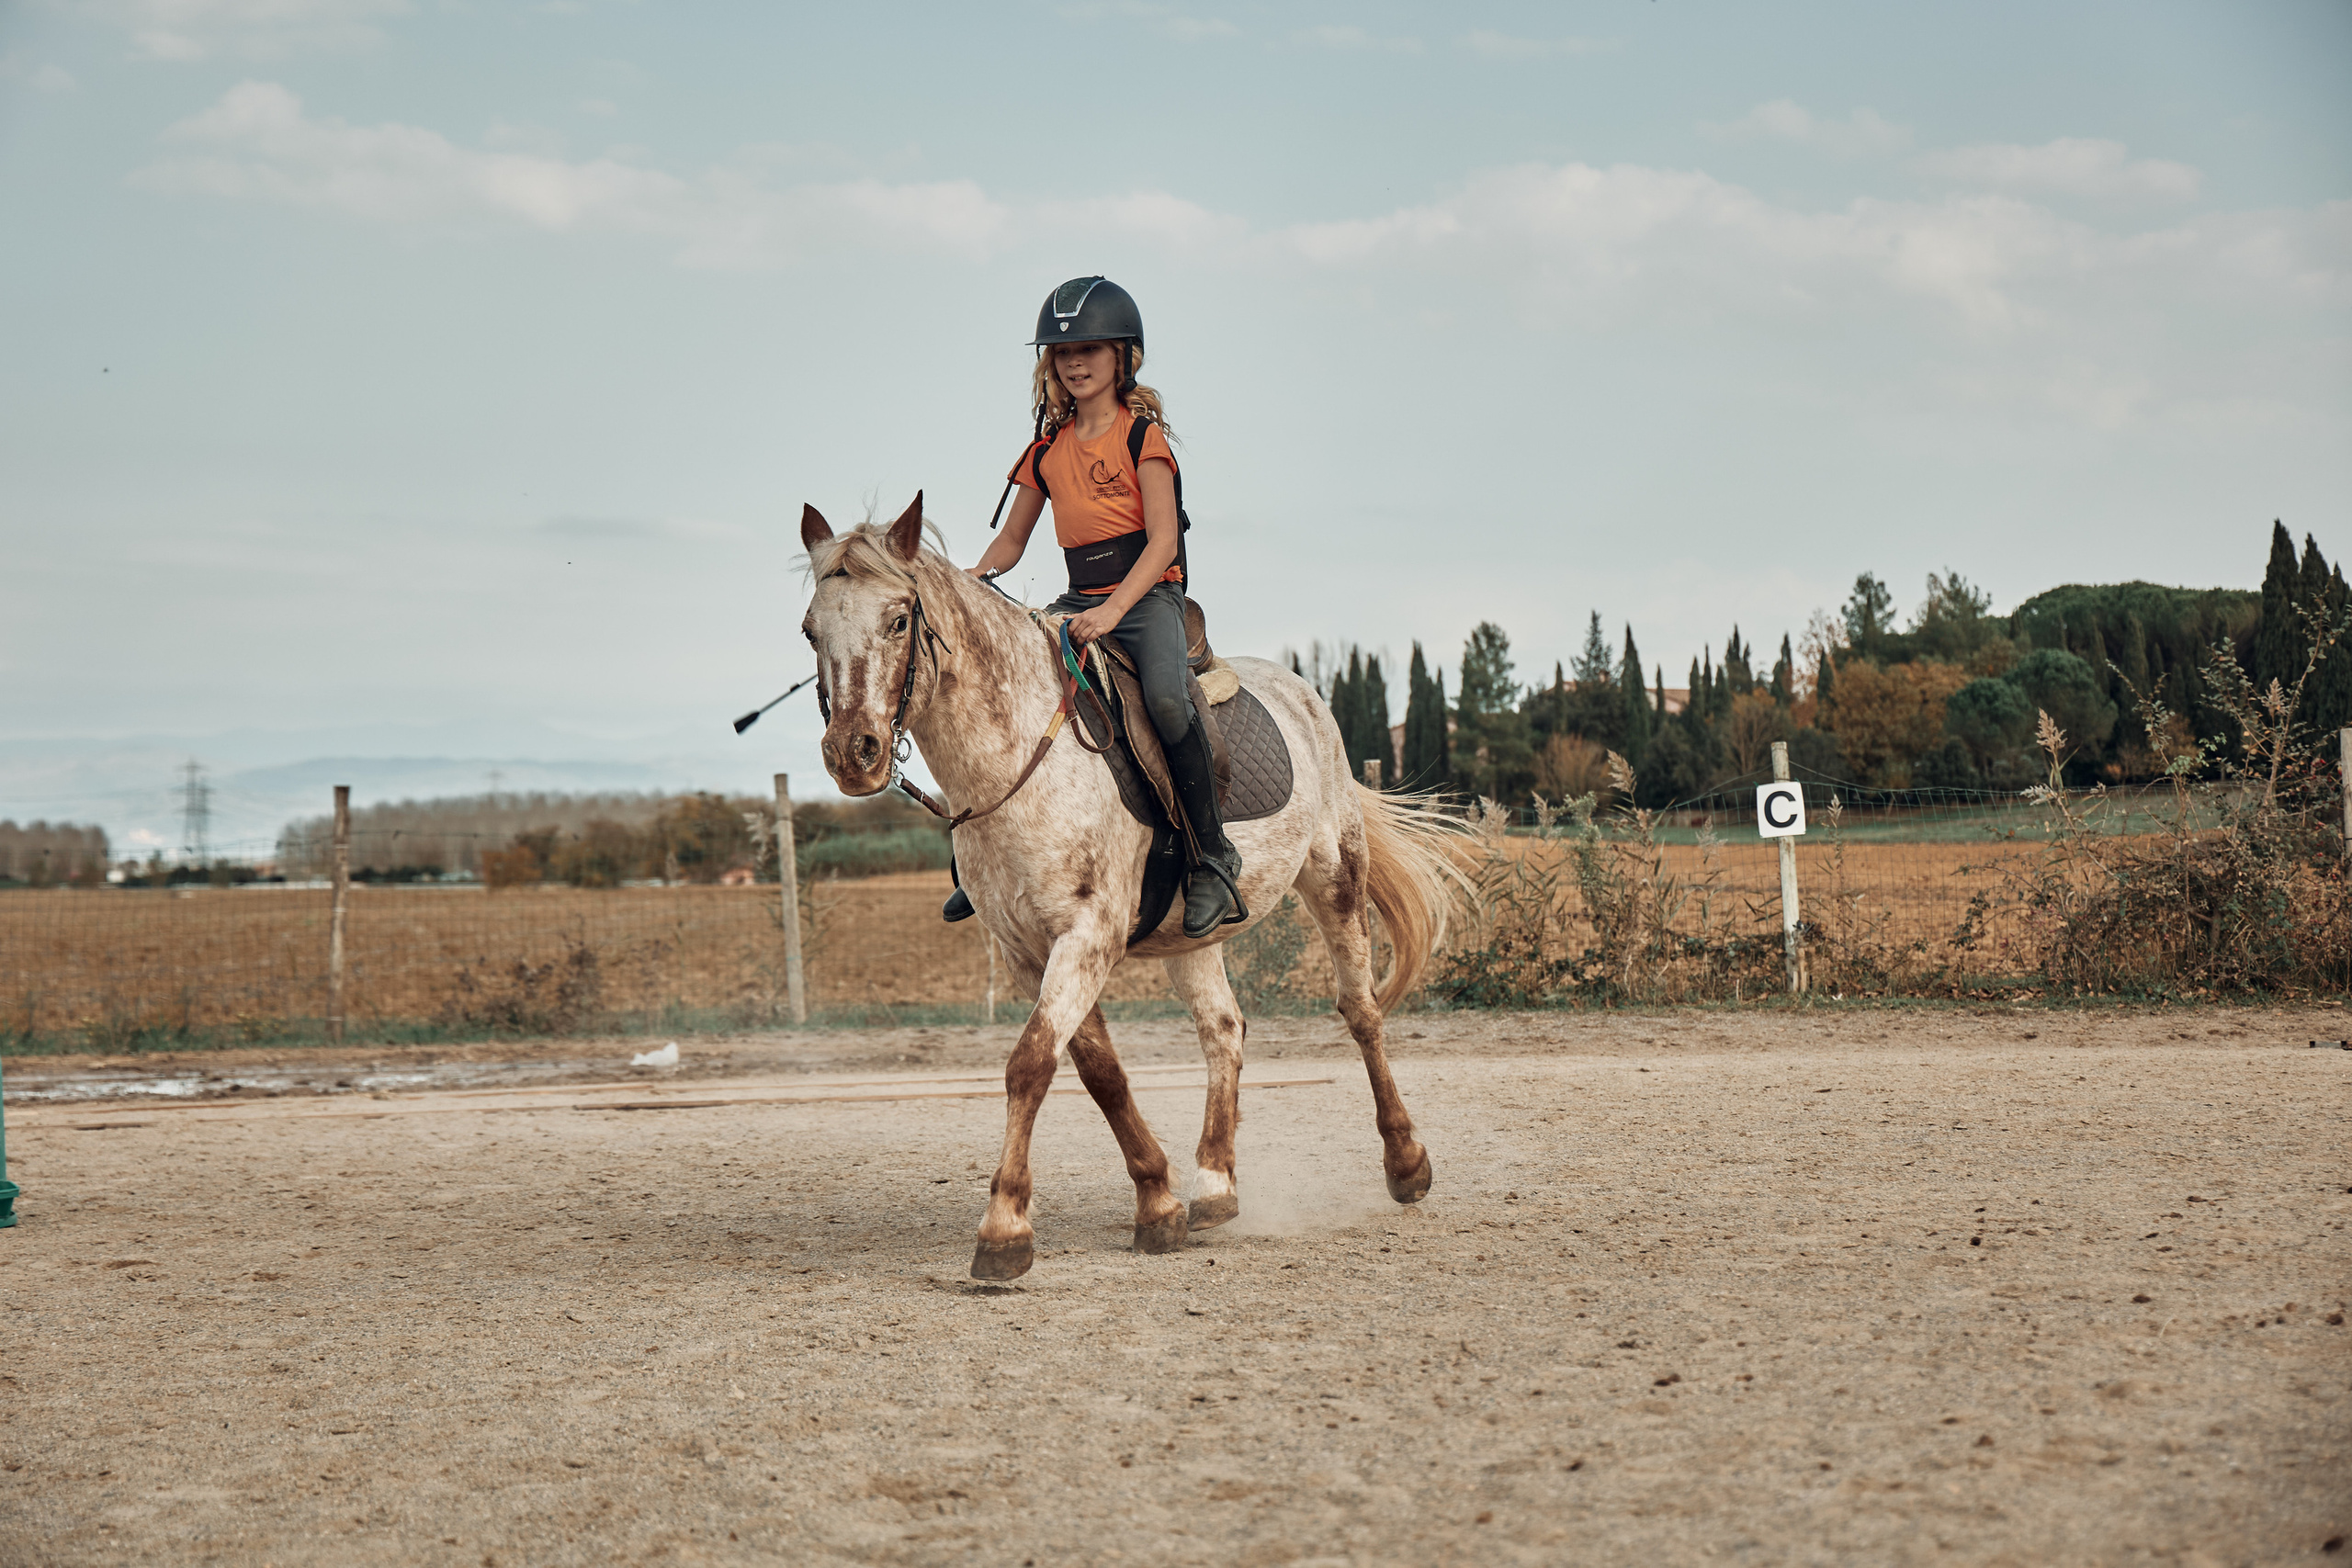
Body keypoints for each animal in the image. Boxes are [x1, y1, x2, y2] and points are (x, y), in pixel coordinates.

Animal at [798, 495, 1461, 1280]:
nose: (853, 753)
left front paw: (1004, 1228)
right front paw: (1158, 1201)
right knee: (1223, 1029)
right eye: (810, 629)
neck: (1016, 757)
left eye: (899, 618)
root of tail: (1304, 693)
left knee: (1360, 1011)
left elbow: (1030, 1064)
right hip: (1192, 933)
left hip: (1335, 876)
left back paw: (1407, 1161)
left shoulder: (1085, 936)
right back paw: (1214, 1184)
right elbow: (1097, 1071)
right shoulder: (1029, 949)